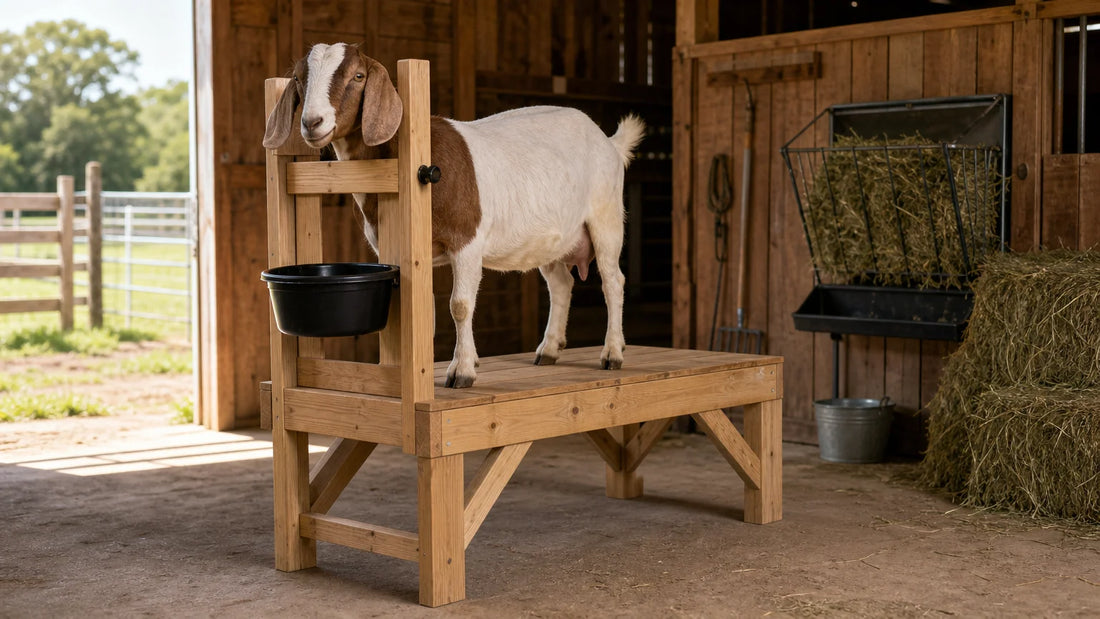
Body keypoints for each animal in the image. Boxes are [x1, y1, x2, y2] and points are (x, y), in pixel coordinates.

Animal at [263, 43, 645, 389]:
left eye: (358, 76)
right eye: (297, 78)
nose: (312, 122)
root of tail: (610, 142)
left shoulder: (466, 241)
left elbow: (460, 305)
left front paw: (461, 372)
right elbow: (427, 311)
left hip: (606, 217)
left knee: (613, 280)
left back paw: (612, 353)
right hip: (553, 238)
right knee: (561, 283)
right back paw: (548, 350)